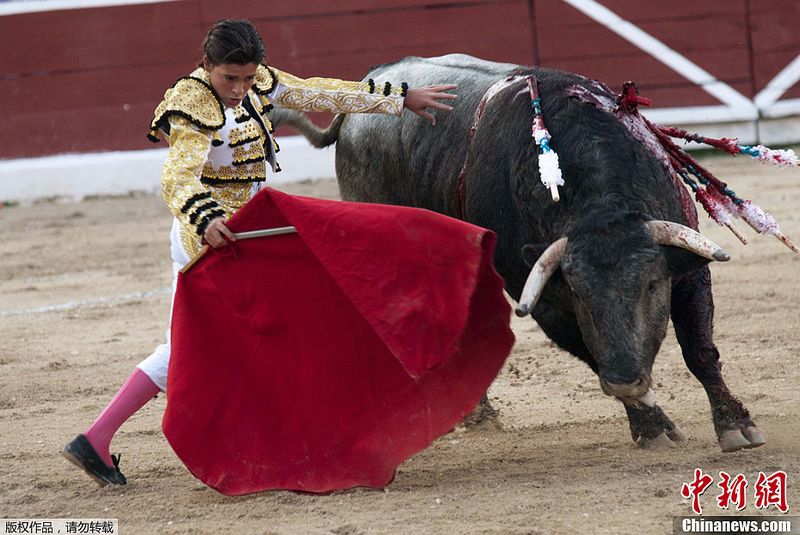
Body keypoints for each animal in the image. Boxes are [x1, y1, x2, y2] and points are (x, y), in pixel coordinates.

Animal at [272, 53, 764, 452]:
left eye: (651, 284)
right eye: (579, 293)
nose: (625, 379)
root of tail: (366, 91)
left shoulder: (688, 266)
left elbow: (699, 348)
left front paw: (735, 426)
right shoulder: (541, 296)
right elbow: (589, 350)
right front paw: (652, 425)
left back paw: (477, 414)